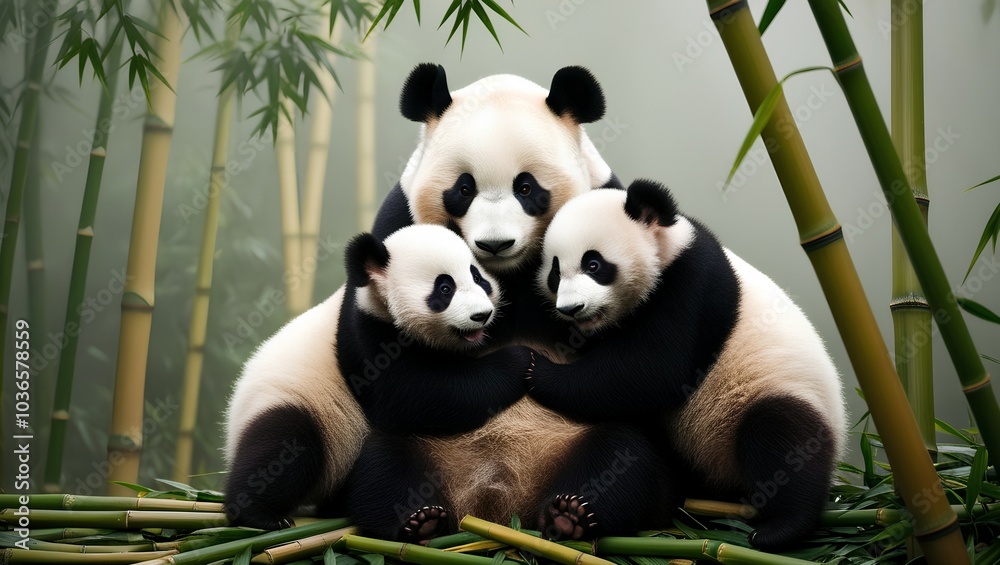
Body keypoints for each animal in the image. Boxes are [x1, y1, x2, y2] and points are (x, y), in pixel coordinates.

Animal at [528, 179, 847, 551]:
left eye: (593, 264)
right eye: (554, 273)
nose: (571, 309)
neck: (669, 247)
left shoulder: (693, 285)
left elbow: (652, 372)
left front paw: (536, 368)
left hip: (778, 391)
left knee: (782, 441)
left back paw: (781, 528)